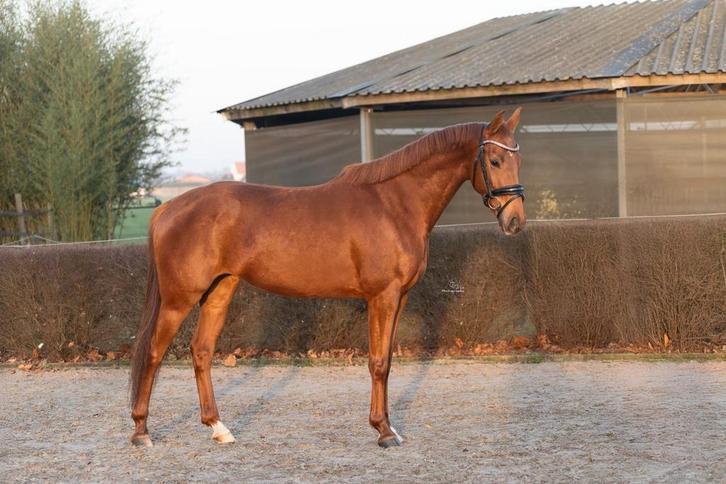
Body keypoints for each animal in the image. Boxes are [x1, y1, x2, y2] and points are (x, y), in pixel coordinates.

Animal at [129, 108, 526, 448]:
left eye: (516, 159)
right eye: (494, 161)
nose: (515, 221)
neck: (394, 203)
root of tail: (170, 207)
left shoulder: (400, 297)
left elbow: (388, 362)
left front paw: (388, 426)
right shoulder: (382, 296)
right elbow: (378, 363)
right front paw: (383, 431)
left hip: (219, 292)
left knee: (201, 352)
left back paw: (218, 428)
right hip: (178, 300)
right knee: (153, 353)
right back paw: (141, 431)